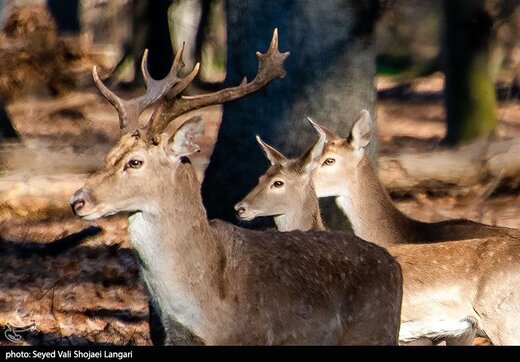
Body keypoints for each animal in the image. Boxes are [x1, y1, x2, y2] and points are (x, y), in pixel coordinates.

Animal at [70, 31, 402, 346]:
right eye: (110, 154)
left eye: (135, 162)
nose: (78, 200)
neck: (208, 306)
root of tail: (394, 266)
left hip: (375, 330)